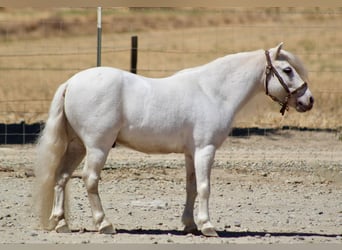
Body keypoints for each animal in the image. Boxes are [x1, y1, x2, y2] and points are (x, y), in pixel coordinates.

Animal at [34, 43, 312, 236]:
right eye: (287, 70)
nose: (308, 100)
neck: (212, 92)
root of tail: (72, 82)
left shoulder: (191, 153)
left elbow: (191, 187)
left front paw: (190, 225)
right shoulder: (205, 150)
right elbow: (205, 187)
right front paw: (208, 226)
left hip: (77, 146)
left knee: (61, 177)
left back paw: (60, 223)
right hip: (97, 147)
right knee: (90, 180)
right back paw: (105, 224)